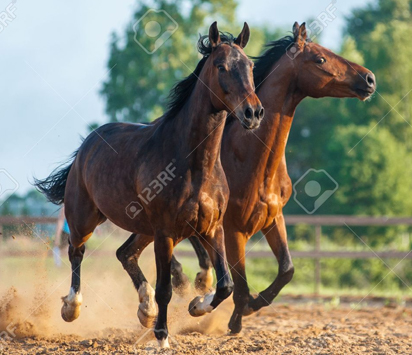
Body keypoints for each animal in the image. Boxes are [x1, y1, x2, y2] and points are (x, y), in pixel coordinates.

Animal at [33, 22, 262, 348]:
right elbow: (166, 287)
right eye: (221, 66)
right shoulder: (165, 232)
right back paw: (72, 307)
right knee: (76, 251)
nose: (253, 113)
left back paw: (146, 308)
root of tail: (86, 145)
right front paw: (162, 337)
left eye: (250, 66)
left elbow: (225, 285)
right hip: (84, 218)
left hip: (143, 228)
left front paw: (196, 305)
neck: (193, 163)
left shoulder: (212, 227)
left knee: (125, 253)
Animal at [127, 21, 374, 334]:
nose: (369, 79)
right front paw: (227, 315)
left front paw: (250, 304)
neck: (252, 160)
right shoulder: (234, 230)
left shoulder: (273, 218)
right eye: (320, 59)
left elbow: (286, 270)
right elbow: (240, 283)